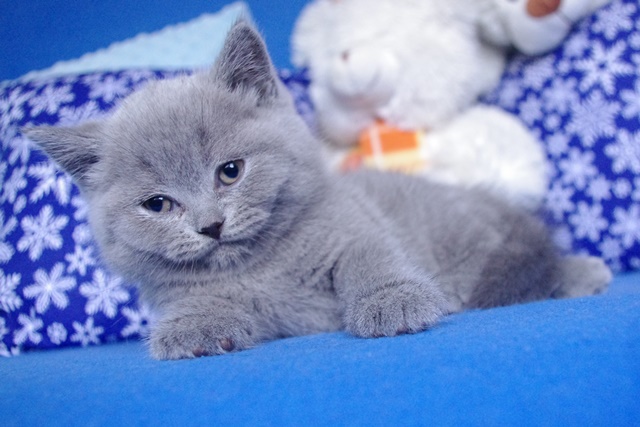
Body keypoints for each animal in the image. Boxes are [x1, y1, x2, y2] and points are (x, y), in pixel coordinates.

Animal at [24, 22, 612, 360]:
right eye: (158, 205)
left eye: (230, 171)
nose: (210, 225)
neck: (262, 265)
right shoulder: (187, 291)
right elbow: (201, 302)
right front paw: (190, 330)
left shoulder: (355, 227)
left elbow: (370, 258)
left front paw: (393, 303)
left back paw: (584, 271)